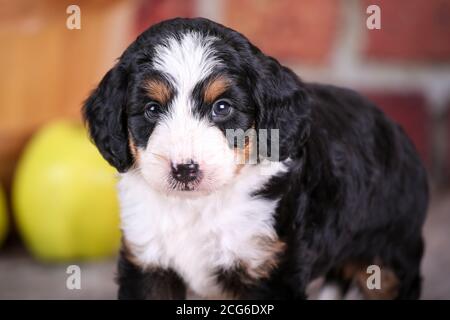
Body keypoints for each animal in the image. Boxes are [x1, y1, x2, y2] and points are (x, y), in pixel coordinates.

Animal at [81, 17, 428, 298]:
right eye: (152, 109)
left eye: (222, 107)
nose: (185, 170)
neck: (199, 207)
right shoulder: (149, 260)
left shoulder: (267, 267)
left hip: (389, 254)